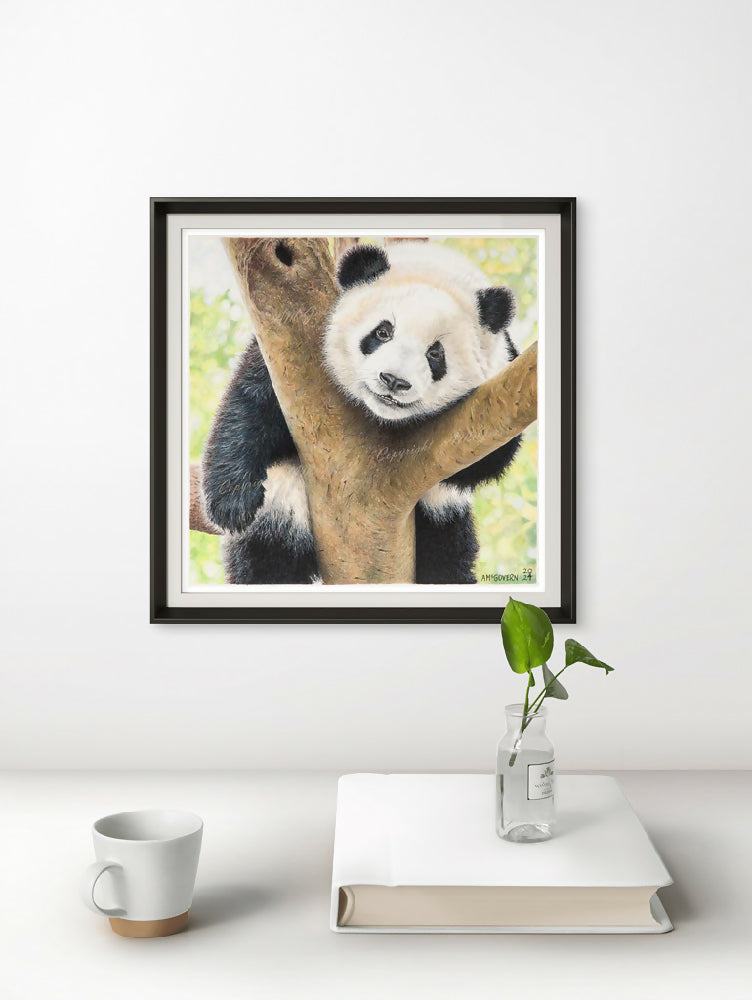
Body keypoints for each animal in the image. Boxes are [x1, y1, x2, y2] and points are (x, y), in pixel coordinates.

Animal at [201, 241, 522, 585]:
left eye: (435, 353)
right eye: (383, 332)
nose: (394, 380)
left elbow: (489, 458)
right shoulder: (288, 363)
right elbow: (249, 405)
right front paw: (232, 503)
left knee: (448, 547)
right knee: (270, 547)